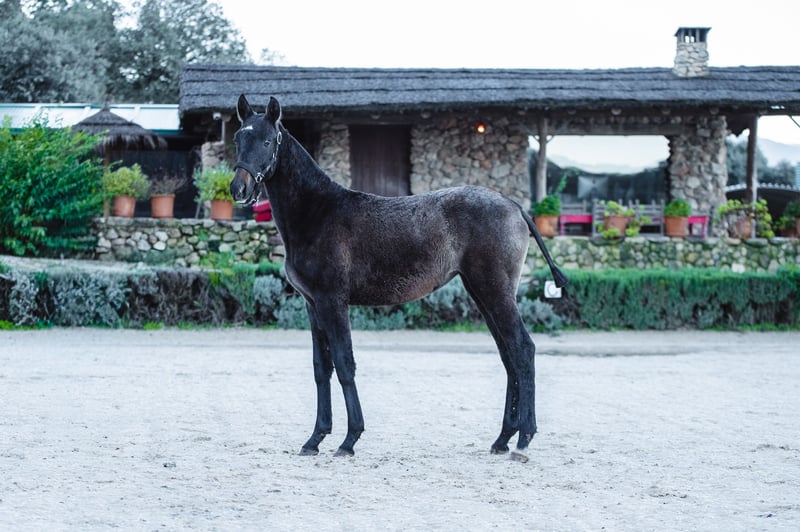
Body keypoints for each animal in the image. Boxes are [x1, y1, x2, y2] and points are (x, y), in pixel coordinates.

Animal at [231, 94, 568, 462]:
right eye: (237, 139)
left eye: (267, 141)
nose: (238, 189)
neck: (317, 213)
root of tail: (515, 207)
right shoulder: (312, 304)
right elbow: (322, 369)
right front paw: (314, 439)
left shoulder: (333, 301)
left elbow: (344, 364)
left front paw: (349, 440)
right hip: (483, 293)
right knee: (509, 356)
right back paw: (503, 438)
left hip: (496, 292)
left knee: (523, 349)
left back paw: (523, 440)